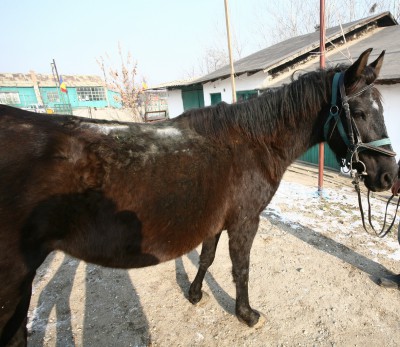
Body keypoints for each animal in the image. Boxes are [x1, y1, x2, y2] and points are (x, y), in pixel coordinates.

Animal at [1, 48, 398, 346]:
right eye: (359, 112)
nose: (389, 177)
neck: (251, 144)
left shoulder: (215, 218)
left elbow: (206, 258)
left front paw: (194, 294)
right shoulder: (244, 220)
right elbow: (241, 268)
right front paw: (246, 314)